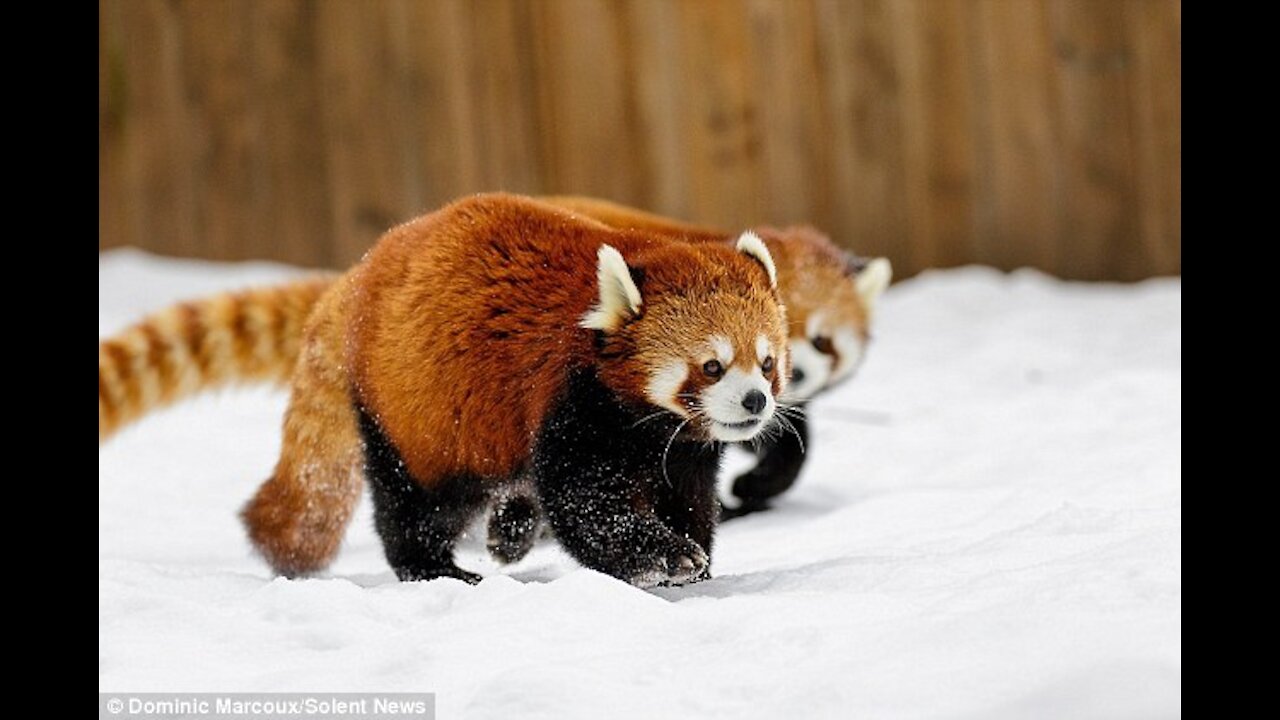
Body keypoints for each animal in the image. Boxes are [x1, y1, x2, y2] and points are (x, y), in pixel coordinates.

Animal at [99, 193, 783, 586]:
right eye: (712, 367)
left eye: (767, 362)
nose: (756, 403)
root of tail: (359, 275)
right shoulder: (571, 404)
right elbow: (586, 504)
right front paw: (662, 558)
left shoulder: (680, 446)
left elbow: (688, 497)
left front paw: (695, 554)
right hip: (412, 409)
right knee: (413, 503)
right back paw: (436, 570)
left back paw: (508, 531)